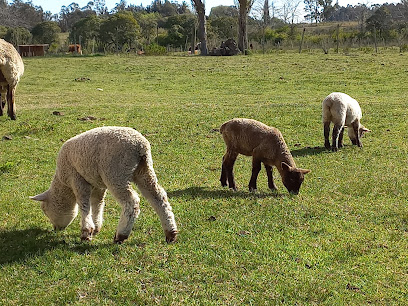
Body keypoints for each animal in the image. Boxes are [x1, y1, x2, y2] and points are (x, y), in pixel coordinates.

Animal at [31, 126, 178, 244]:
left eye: (45, 210)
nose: (55, 229)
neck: (63, 184)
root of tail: (140, 146)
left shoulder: (77, 178)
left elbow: (84, 204)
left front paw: (86, 232)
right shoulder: (97, 184)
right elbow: (98, 203)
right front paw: (96, 227)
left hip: (116, 172)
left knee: (132, 201)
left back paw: (121, 235)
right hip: (144, 170)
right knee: (158, 197)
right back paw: (170, 232)